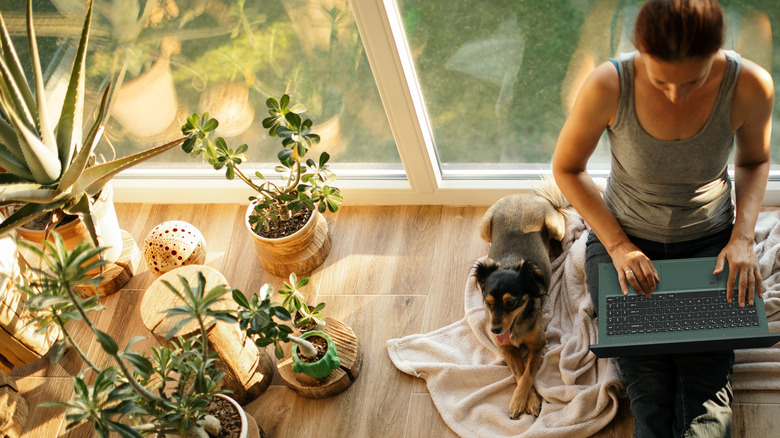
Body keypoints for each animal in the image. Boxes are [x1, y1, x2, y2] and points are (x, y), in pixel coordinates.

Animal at [472, 181, 568, 418]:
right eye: (488, 303)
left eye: (512, 302)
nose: (495, 330)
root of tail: (522, 195)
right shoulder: (505, 348)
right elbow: (518, 371)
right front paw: (525, 400)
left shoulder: (539, 345)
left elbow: (528, 373)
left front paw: (522, 401)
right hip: (484, 228)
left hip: (555, 227)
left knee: (561, 220)